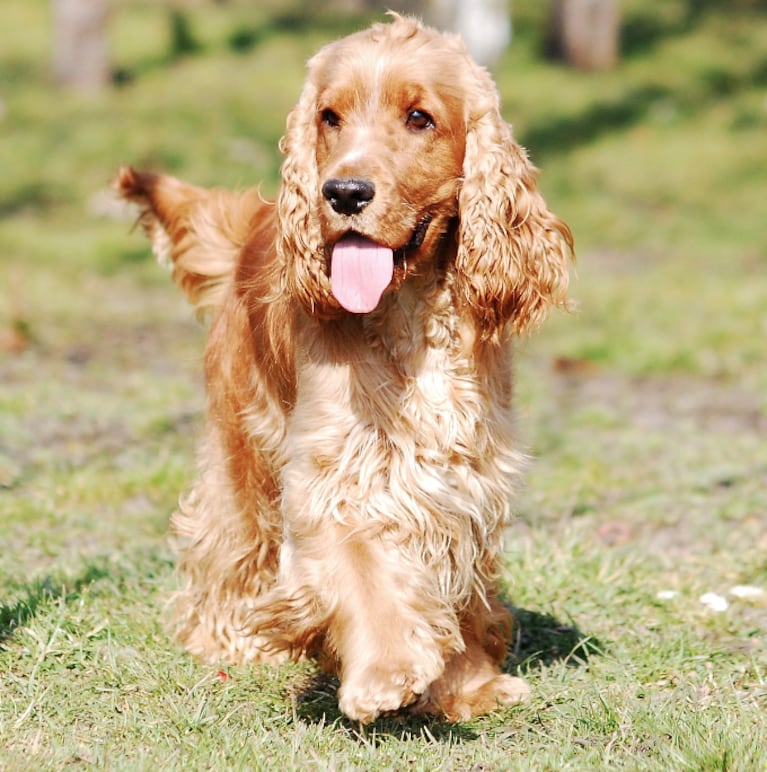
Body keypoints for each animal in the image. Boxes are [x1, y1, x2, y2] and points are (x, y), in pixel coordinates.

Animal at [114, 13, 568, 724]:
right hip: (245, 436)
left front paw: (469, 683)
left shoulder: (464, 473)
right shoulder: (336, 472)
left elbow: (454, 576)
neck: (411, 313)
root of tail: (257, 220)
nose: (344, 192)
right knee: (228, 535)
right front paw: (385, 672)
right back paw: (230, 638)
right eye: (329, 116)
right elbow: (364, 568)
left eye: (419, 118)